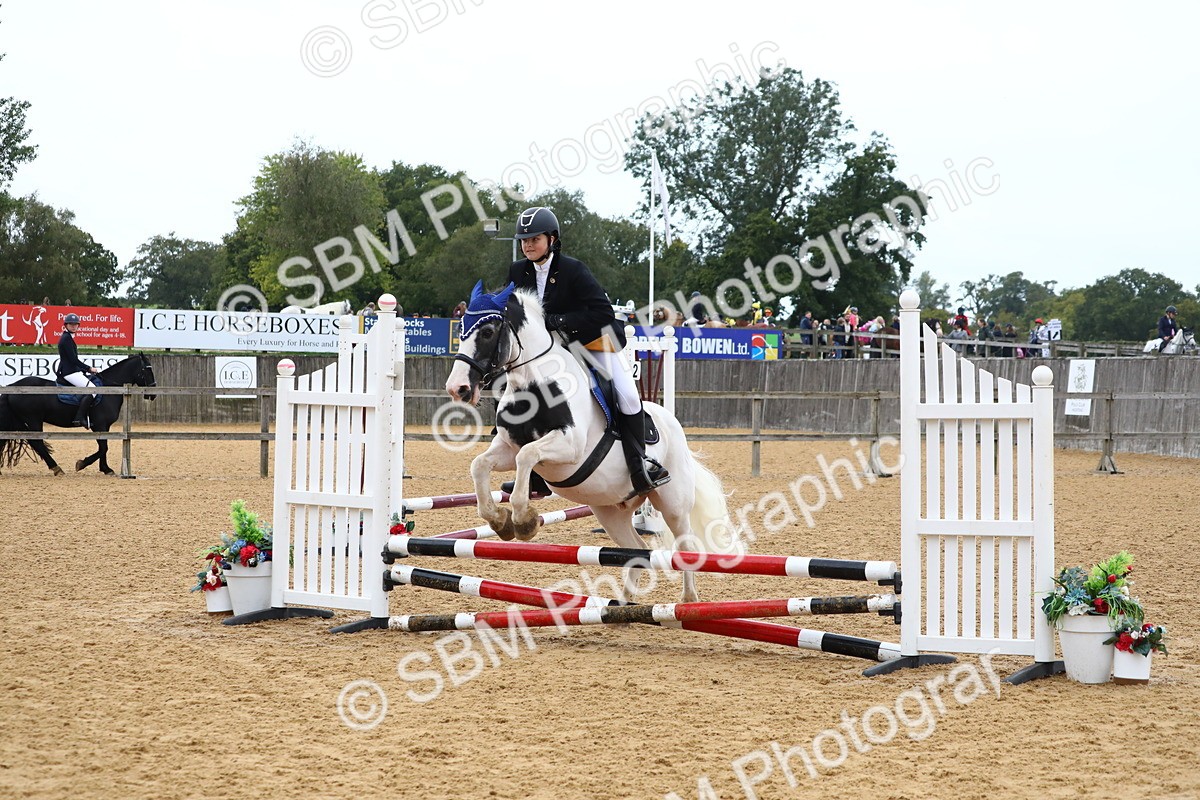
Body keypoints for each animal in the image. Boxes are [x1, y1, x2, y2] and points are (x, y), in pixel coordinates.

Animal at [0, 354, 157, 476]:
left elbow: (103, 447)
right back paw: (56, 468)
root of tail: (13, 386)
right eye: (147, 369)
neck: (109, 389)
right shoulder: (99, 424)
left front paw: (105, 469)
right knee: (37, 443)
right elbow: (103, 447)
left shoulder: (103, 426)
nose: (153, 393)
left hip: (19, 421)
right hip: (33, 420)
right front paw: (83, 464)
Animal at [445, 282, 741, 603]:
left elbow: (528, 455)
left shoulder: (569, 446)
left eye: (487, 332)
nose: (457, 388)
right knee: (637, 550)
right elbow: (481, 464)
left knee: (685, 545)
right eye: (460, 328)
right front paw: (499, 519)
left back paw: (688, 600)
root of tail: (672, 421)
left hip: (672, 503)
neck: (534, 385)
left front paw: (523, 520)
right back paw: (623, 604)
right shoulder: (507, 449)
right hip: (610, 509)